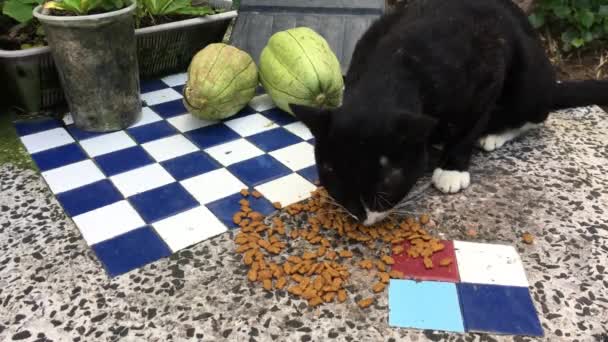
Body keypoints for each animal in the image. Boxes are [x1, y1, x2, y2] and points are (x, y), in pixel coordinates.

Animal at [288, 0, 608, 227]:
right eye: (333, 177)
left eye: (387, 183)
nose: (362, 216)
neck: (390, 68)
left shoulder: (488, 76)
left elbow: (470, 127)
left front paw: (452, 169)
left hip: (530, 81)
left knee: (535, 115)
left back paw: (494, 135)